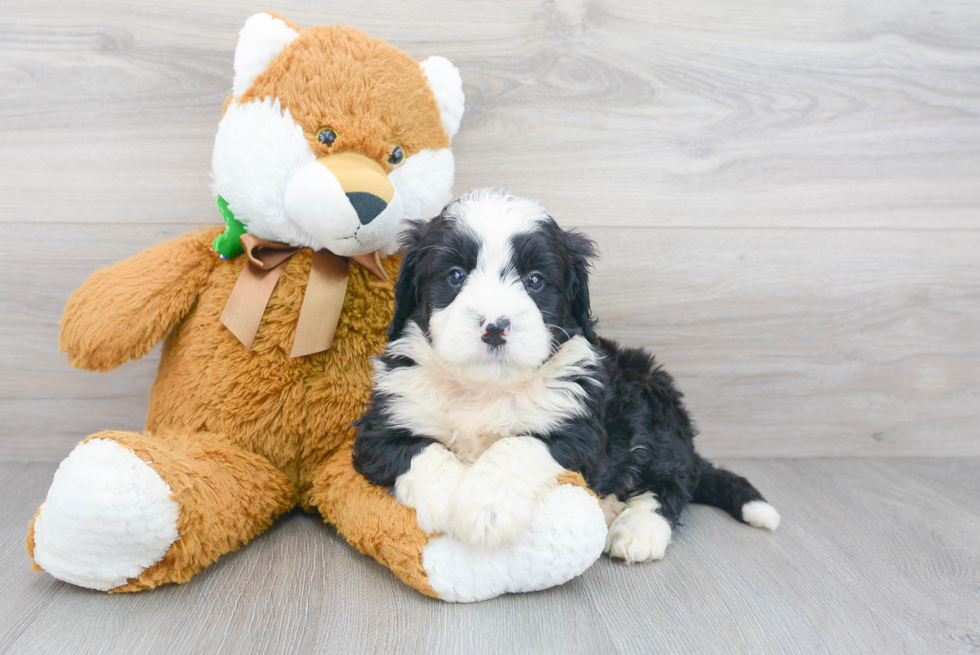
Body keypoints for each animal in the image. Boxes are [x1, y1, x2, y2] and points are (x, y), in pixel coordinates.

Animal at [354, 190, 780, 564]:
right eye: (456, 275)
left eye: (535, 280)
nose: (495, 327)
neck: (486, 388)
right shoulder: (381, 427)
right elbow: (424, 451)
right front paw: (448, 501)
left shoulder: (580, 429)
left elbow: (519, 445)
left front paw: (486, 509)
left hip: (653, 408)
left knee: (671, 482)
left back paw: (636, 530)